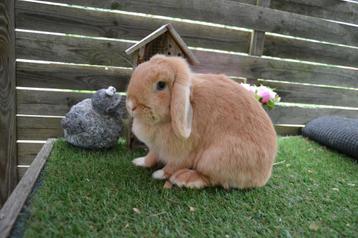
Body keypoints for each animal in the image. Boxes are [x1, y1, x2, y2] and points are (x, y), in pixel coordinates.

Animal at [126, 54, 276, 189]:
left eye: (161, 85)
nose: (131, 105)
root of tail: (263, 176)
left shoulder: (184, 153)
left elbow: (173, 165)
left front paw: (159, 174)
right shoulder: (156, 148)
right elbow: (151, 156)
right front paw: (139, 162)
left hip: (214, 158)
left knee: (211, 180)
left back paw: (184, 179)